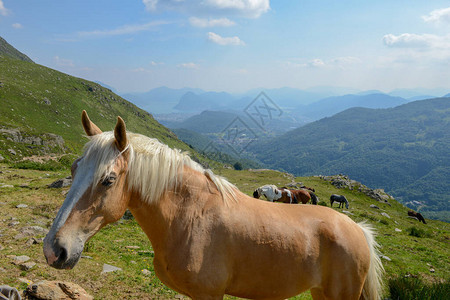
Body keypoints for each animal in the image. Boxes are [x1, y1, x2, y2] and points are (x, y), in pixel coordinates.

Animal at [44, 111, 384, 300]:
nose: (54, 249)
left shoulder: (208, 293)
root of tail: (358, 229)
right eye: (74, 169)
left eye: (109, 180)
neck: (190, 217)